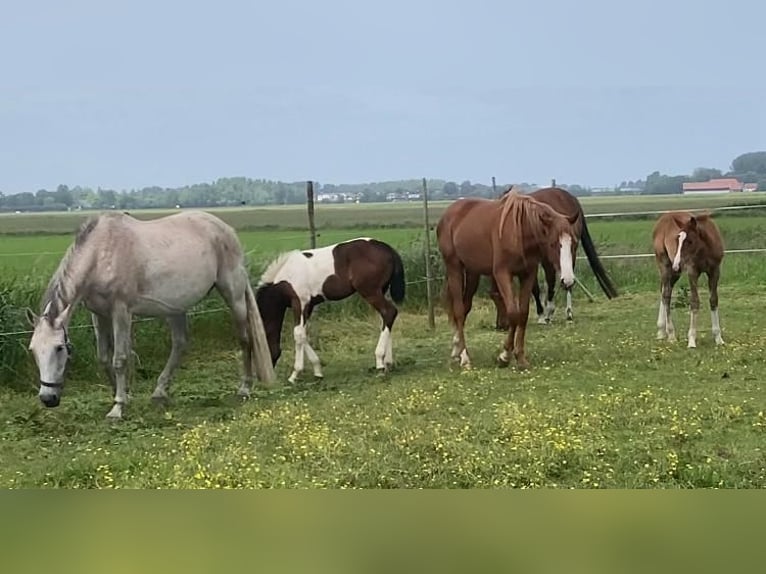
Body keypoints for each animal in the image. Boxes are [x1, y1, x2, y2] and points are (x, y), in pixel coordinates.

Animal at [26, 210, 276, 418]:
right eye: (33, 350)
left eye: (59, 348)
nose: (48, 399)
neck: (101, 254)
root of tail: (226, 229)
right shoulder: (99, 314)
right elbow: (104, 357)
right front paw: (124, 395)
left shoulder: (121, 311)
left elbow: (120, 358)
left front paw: (117, 407)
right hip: (175, 308)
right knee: (179, 345)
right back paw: (159, 392)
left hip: (234, 296)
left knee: (244, 339)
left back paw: (244, 388)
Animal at [255, 236, 408, 384]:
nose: (260, 379)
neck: (285, 278)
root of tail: (388, 249)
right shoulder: (309, 306)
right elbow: (304, 334)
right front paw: (317, 371)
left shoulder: (300, 303)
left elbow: (298, 334)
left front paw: (294, 375)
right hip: (381, 290)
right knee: (385, 318)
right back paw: (387, 363)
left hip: (370, 291)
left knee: (389, 312)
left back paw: (380, 363)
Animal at [438, 189, 576, 368]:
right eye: (553, 244)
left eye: (573, 243)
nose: (568, 280)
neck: (520, 231)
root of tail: (448, 214)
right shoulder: (502, 274)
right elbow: (512, 313)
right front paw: (504, 356)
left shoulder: (527, 275)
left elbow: (523, 314)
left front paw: (521, 358)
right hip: (454, 267)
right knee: (459, 310)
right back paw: (464, 356)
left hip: (472, 272)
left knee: (465, 306)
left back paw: (456, 349)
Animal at [488, 187, 620, 330]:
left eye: (498, 298)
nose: (500, 325)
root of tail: (570, 198)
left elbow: (540, 286)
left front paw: (543, 315)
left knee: (559, 282)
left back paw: (559, 313)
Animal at [656, 210, 728, 348]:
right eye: (677, 239)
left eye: (689, 241)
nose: (677, 264)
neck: (705, 249)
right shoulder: (692, 271)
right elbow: (694, 301)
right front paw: (691, 340)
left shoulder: (715, 271)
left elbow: (713, 300)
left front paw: (718, 338)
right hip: (665, 265)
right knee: (666, 295)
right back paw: (671, 334)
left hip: (675, 274)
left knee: (664, 291)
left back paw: (661, 331)